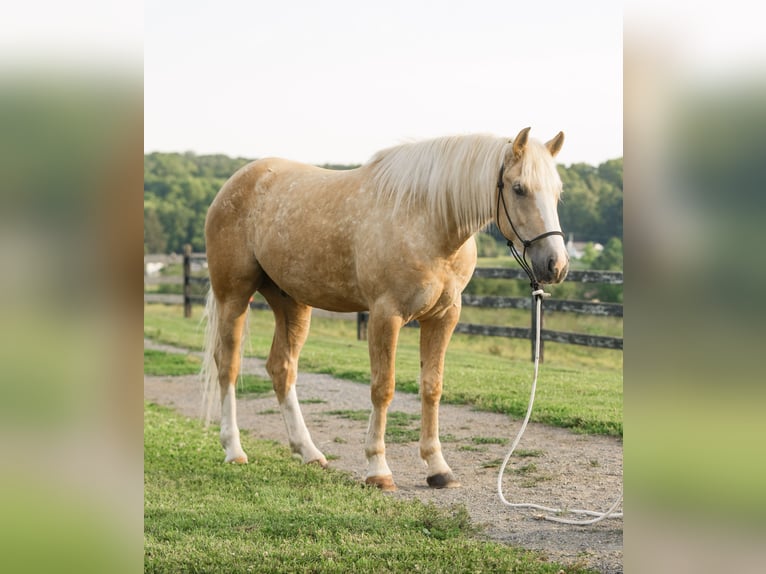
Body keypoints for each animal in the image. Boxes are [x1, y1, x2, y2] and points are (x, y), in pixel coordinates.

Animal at [201, 127, 569, 491]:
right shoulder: (384, 316)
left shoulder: (443, 317)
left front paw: (438, 468)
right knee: (228, 366)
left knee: (282, 368)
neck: (428, 222)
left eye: (557, 192)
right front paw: (378, 469)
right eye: (519, 188)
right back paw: (234, 449)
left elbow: (432, 387)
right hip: (234, 296)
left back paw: (309, 452)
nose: (556, 265)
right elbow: (383, 388)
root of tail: (236, 183)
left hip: (291, 301)